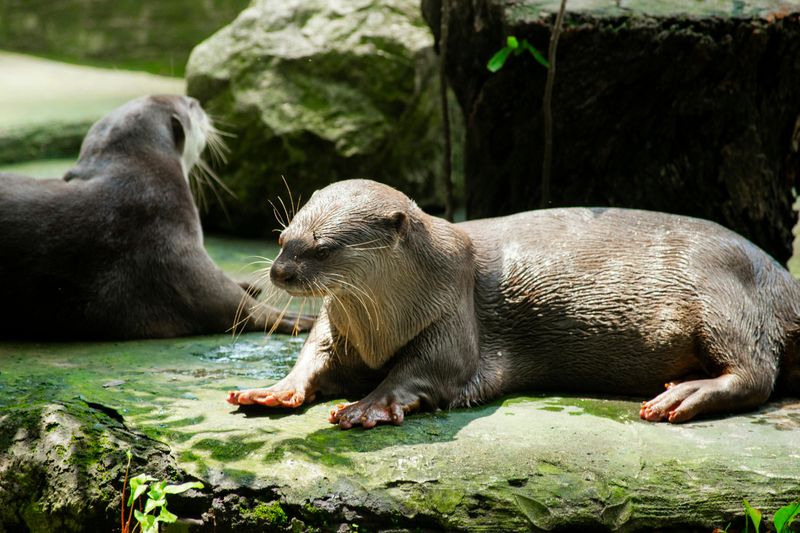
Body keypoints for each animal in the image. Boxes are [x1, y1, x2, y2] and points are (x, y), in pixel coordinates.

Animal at [0, 95, 312, 340]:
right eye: (190, 106)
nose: (199, 102)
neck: (143, 172)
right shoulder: (169, 241)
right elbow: (226, 300)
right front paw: (288, 317)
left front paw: (247, 284)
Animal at [227, 179, 800, 427]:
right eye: (282, 238)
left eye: (323, 249)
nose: (279, 272)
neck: (380, 328)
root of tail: (783, 280)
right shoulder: (337, 326)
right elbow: (314, 356)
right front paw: (274, 389)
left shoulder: (452, 313)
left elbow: (429, 370)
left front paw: (368, 405)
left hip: (722, 296)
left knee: (755, 373)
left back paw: (681, 396)